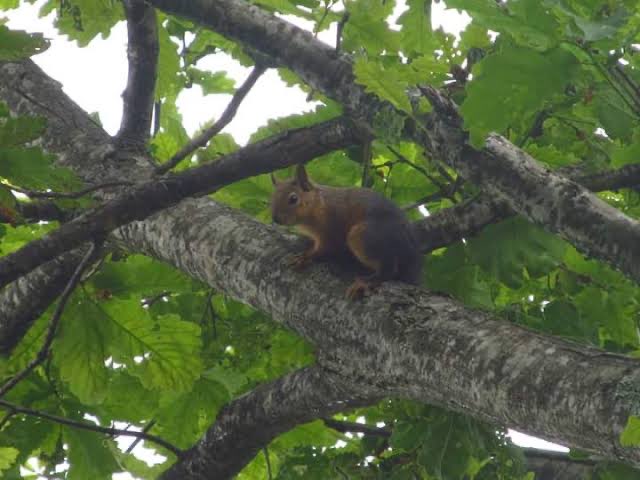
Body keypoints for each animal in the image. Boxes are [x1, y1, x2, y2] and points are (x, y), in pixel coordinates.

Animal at [268, 165, 420, 300]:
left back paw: (365, 282)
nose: (275, 219)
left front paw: (305, 257)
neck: (318, 204)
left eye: (293, 199)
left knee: (389, 269)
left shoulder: (331, 227)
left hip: (363, 236)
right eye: (272, 198)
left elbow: (326, 248)